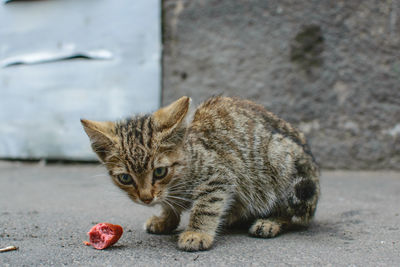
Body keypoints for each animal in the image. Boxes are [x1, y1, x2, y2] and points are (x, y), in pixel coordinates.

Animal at [80, 97, 318, 252]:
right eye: (125, 178)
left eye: (160, 171)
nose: (146, 198)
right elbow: (170, 205)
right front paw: (166, 219)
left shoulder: (219, 176)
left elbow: (206, 206)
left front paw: (197, 232)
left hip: (282, 164)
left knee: (292, 209)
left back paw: (270, 221)